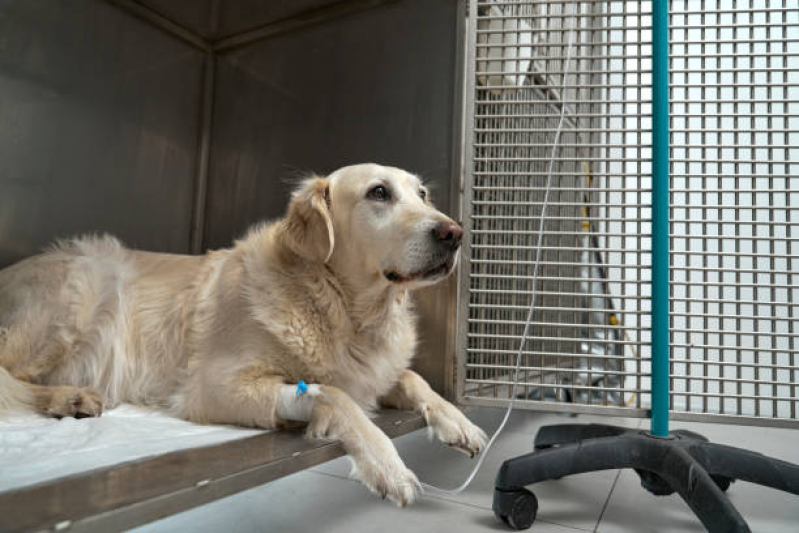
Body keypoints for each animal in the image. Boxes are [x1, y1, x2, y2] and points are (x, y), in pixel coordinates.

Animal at [0, 164, 488, 504]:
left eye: (421, 193)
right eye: (379, 192)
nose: (455, 233)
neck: (346, 311)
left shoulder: (372, 370)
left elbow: (410, 377)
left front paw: (458, 420)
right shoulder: (210, 388)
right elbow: (334, 395)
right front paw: (388, 465)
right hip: (83, 283)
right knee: (9, 377)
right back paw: (70, 397)